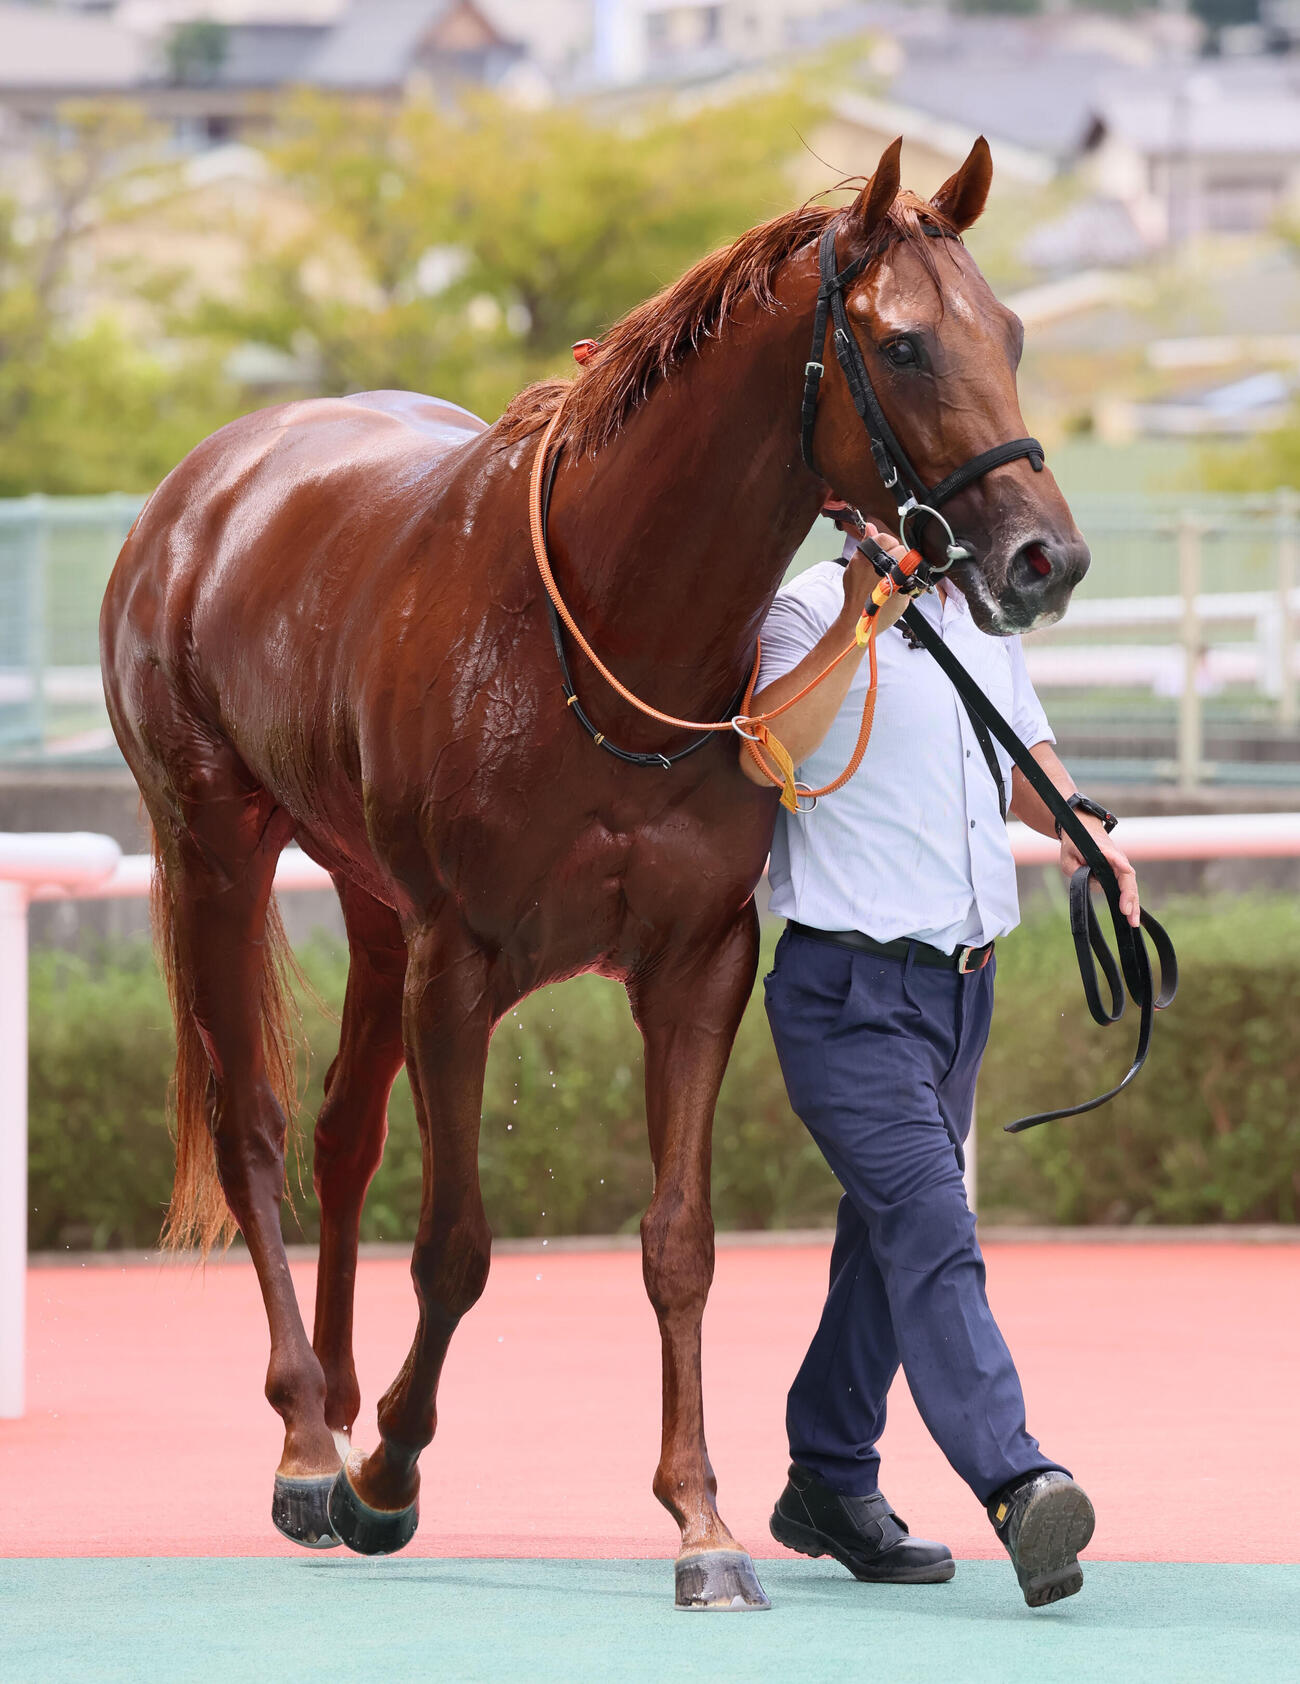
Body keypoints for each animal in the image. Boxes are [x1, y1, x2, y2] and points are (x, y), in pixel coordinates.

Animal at [100, 136, 1089, 1610]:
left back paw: (334, 1399)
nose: (1047, 559)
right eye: (905, 344)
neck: (607, 630)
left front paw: (702, 1519)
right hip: (212, 842)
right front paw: (389, 1474)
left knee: (342, 1133)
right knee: (257, 1129)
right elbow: (456, 1245)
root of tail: (207, 488)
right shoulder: (461, 962)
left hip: (369, 895)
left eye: (1011, 333)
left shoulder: (697, 961)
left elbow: (679, 1244)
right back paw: (306, 1442)